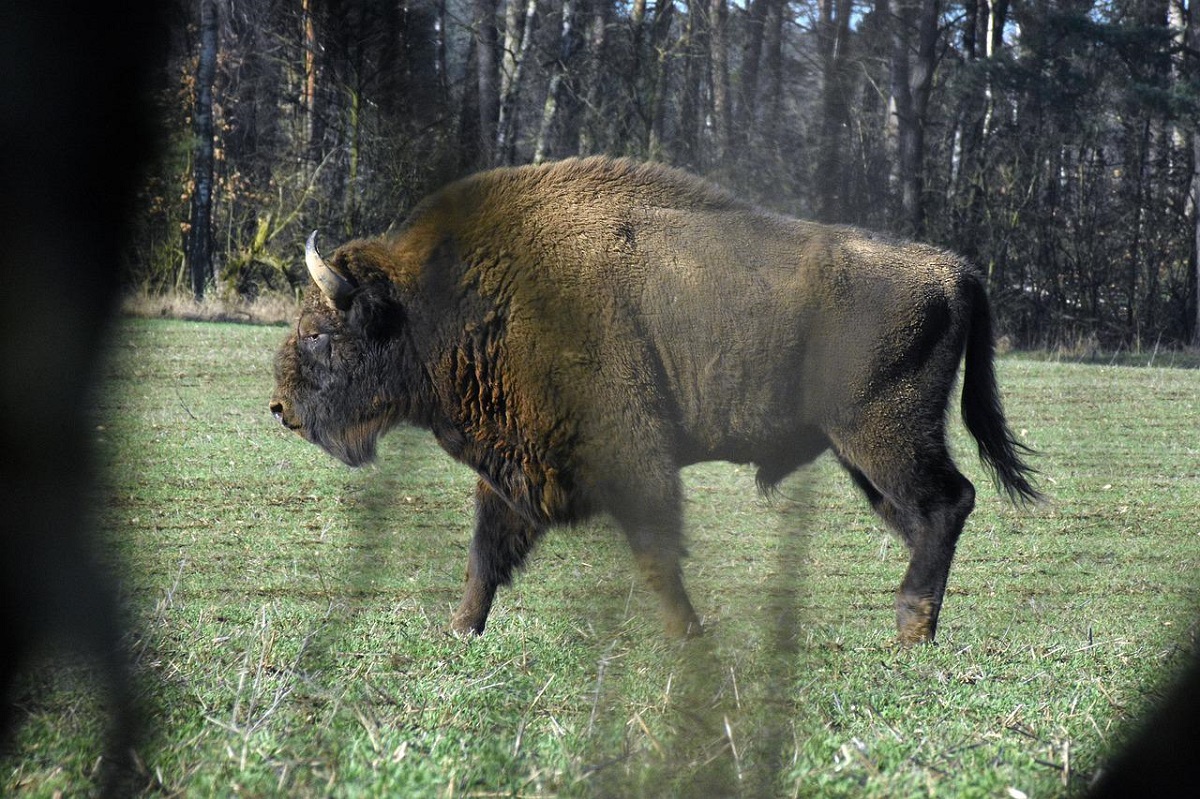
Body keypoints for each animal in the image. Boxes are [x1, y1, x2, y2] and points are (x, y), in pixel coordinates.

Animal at [272, 155, 1041, 643]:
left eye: (318, 331)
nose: (279, 408)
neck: (443, 298)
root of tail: (957, 270)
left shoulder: (632, 460)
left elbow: (655, 551)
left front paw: (687, 635)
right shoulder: (515, 467)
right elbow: (486, 552)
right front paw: (460, 631)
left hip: (886, 436)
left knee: (946, 504)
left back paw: (912, 627)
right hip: (865, 453)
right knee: (920, 517)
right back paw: (914, 623)